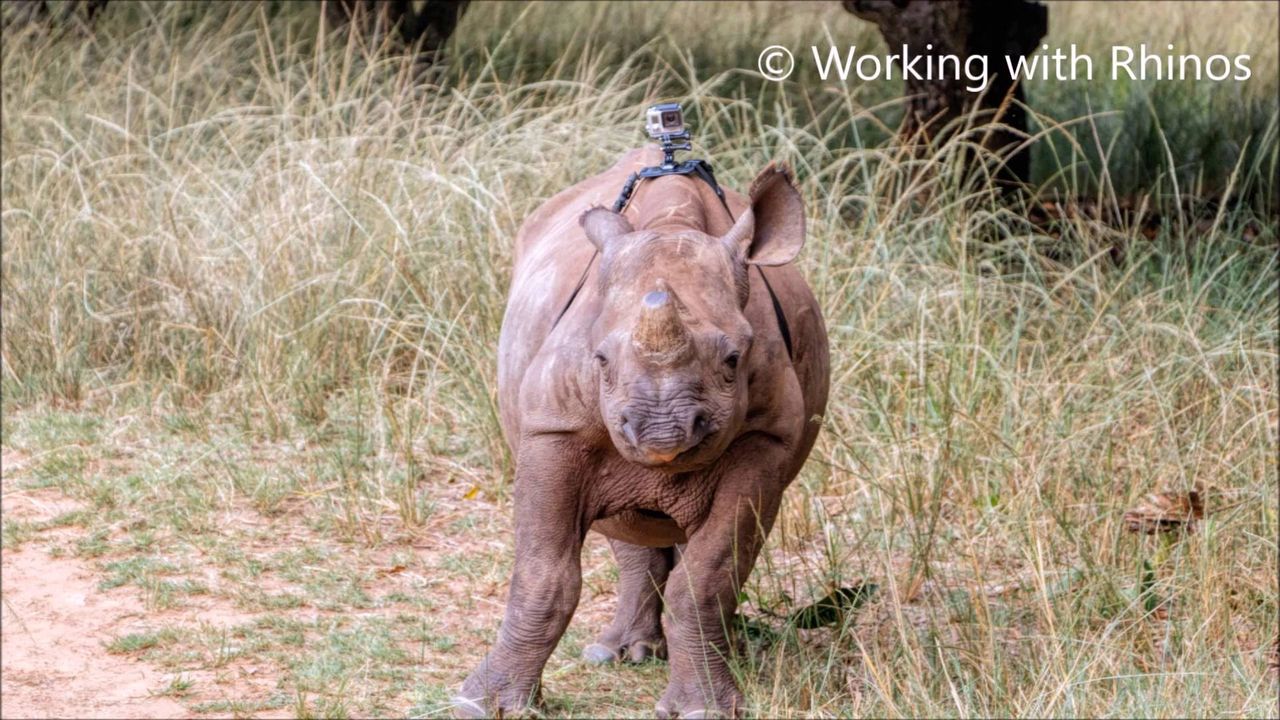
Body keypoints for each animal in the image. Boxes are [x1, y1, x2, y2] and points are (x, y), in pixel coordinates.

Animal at [458, 146, 829, 717]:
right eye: (600, 359)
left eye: (733, 360)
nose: (661, 432)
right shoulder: (553, 429)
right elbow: (542, 573)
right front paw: (486, 704)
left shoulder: (765, 441)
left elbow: (708, 577)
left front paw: (708, 708)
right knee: (628, 522)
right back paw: (618, 654)